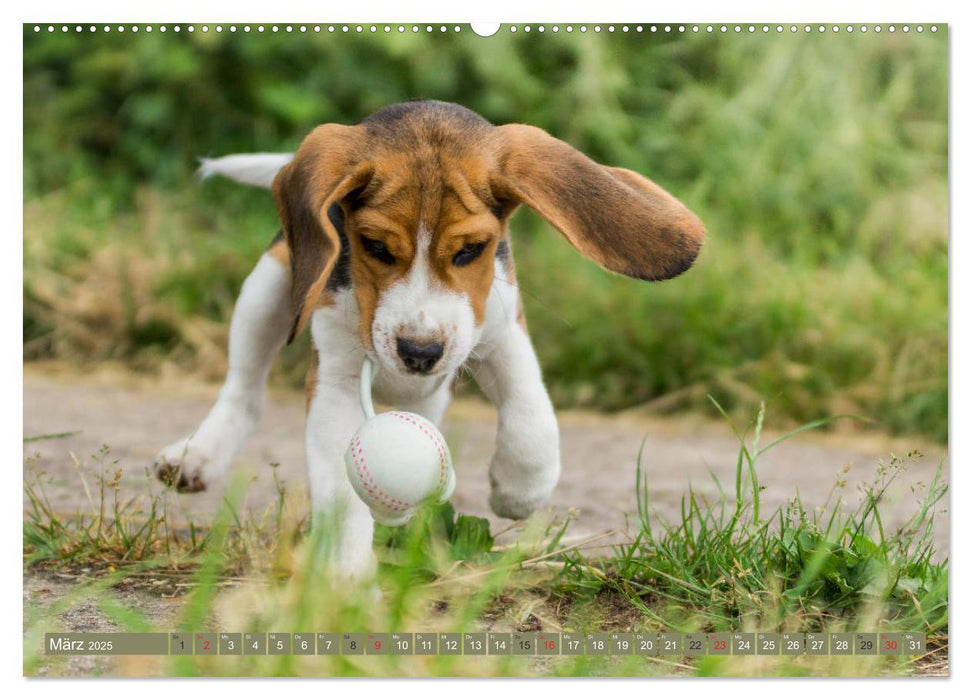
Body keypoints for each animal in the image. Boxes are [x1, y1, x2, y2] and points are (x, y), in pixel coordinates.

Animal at [158, 100, 708, 580]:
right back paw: (197, 455)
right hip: (269, 284)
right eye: (374, 246)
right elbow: (341, 488)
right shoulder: (336, 378)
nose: (419, 353)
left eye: (471, 250)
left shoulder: (499, 324)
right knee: (245, 390)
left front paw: (520, 488)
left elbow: (530, 409)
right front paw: (343, 574)